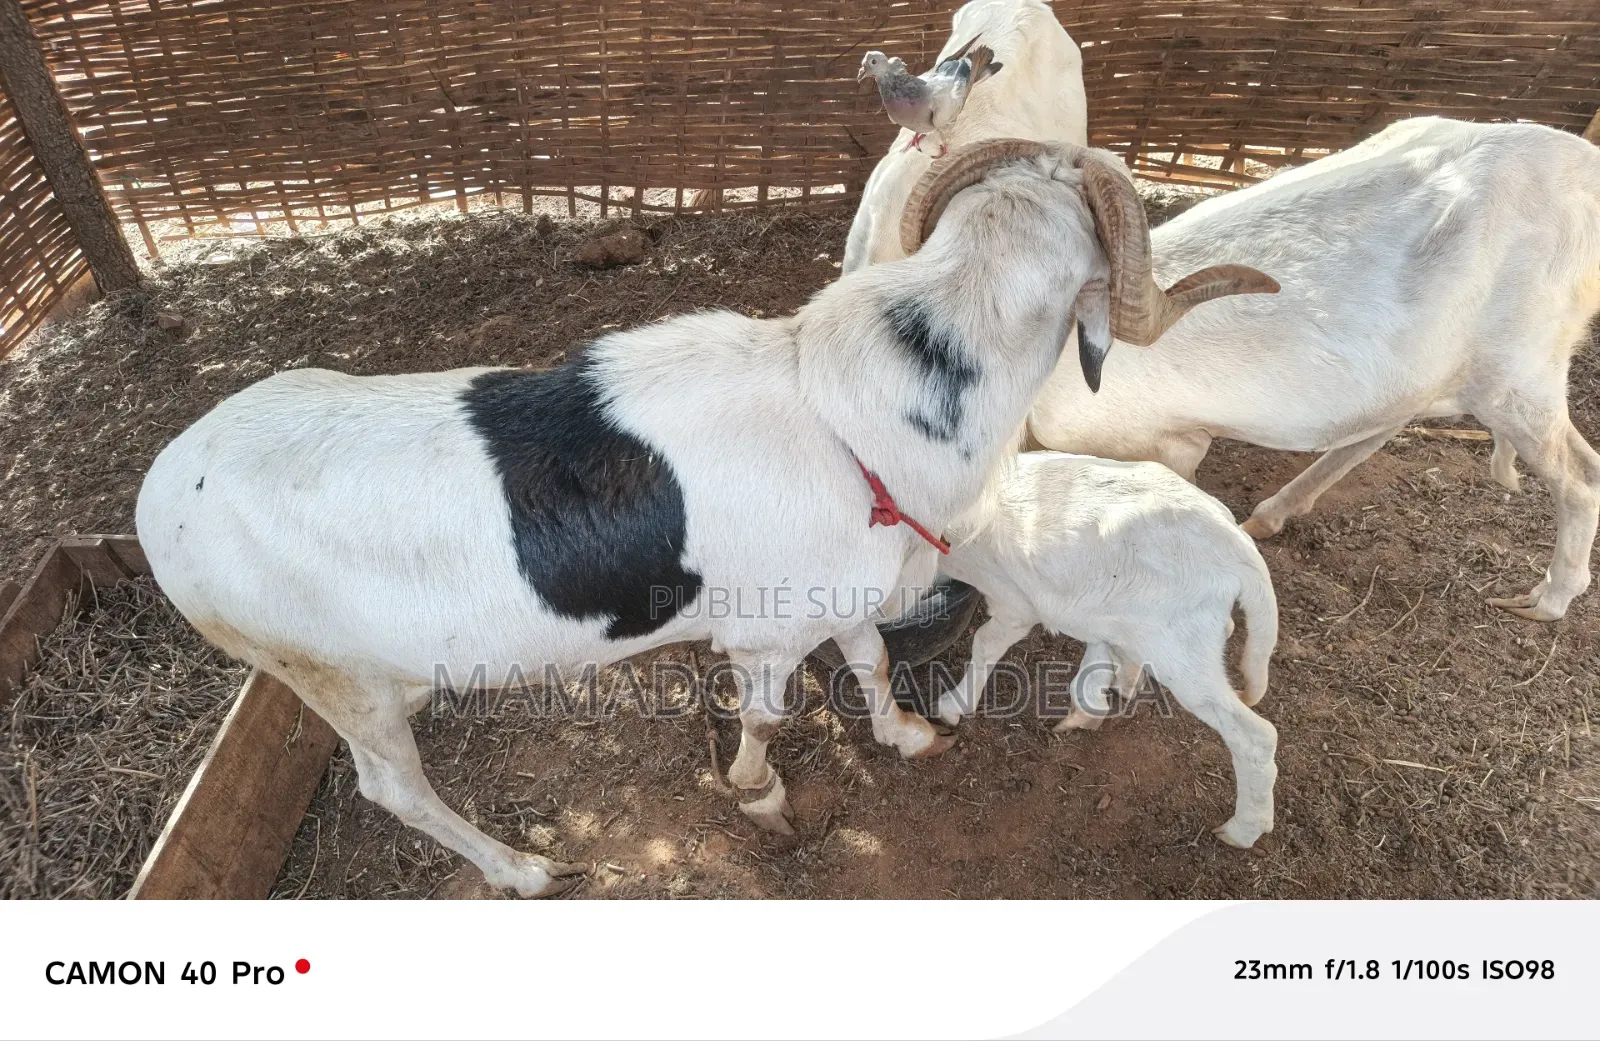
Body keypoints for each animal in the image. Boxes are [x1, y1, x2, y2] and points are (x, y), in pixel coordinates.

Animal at [934, 450, 1280, 847]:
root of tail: (1242, 553)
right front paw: (1099, 697)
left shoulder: (1012, 601)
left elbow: (986, 643)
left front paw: (953, 705)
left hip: (1181, 650)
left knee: (1255, 737)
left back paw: (1242, 830)